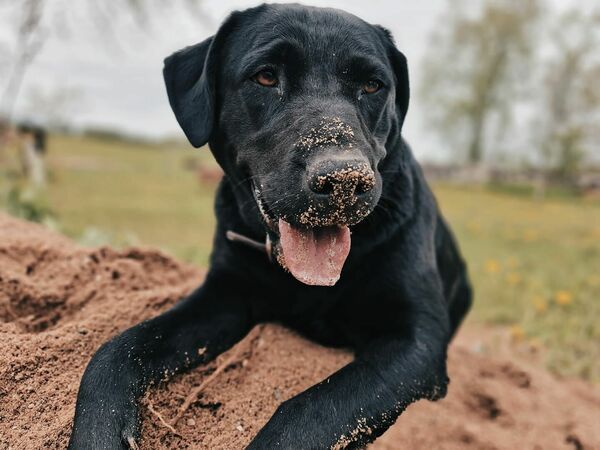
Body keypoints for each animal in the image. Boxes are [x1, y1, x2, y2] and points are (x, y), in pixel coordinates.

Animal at [68, 4, 472, 450]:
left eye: (372, 85)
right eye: (265, 76)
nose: (343, 179)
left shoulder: (416, 339)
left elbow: (310, 409)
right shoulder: (224, 294)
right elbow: (117, 349)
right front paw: (97, 433)